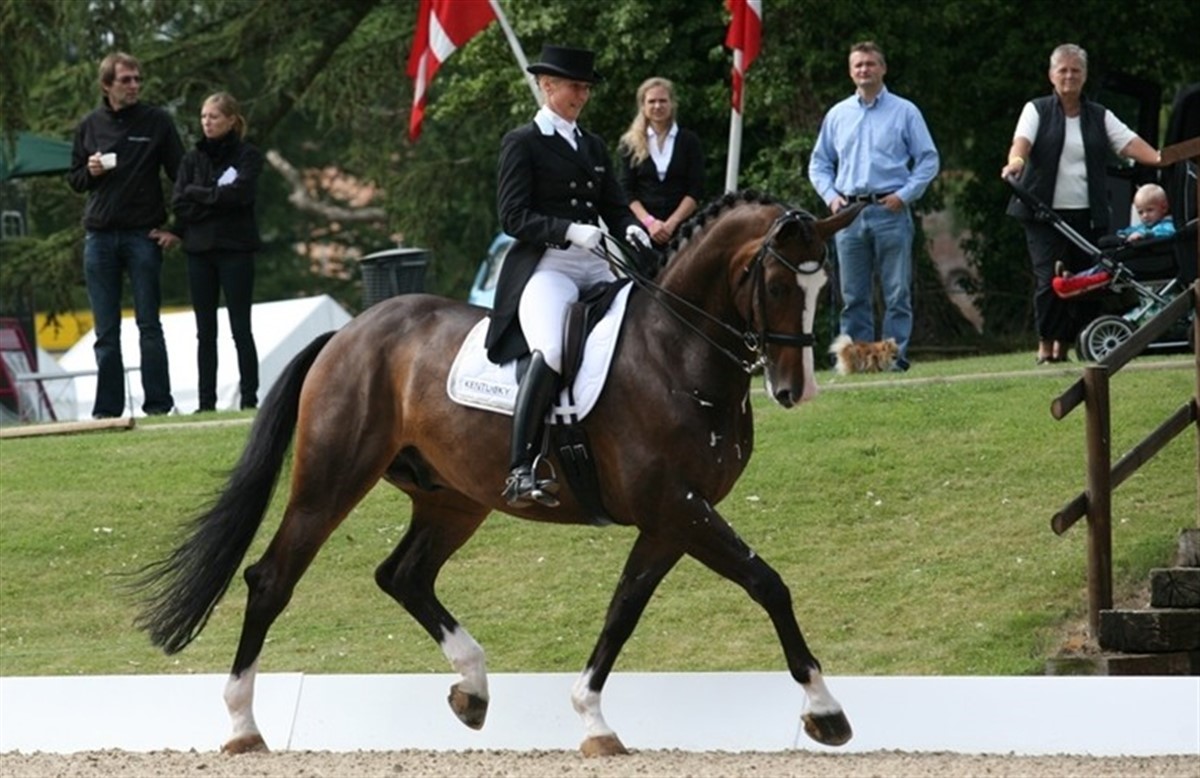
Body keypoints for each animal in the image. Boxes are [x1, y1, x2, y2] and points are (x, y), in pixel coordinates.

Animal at [132, 190, 865, 756]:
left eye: (823, 286)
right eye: (777, 285)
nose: (795, 390)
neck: (675, 351)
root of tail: (350, 332)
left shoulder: (671, 517)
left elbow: (623, 610)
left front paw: (593, 721)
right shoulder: (678, 506)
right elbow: (766, 583)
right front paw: (826, 711)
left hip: (453, 498)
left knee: (403, 575)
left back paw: (473, 688)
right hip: (330, 481)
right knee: (272, 579)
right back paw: (242, 725)